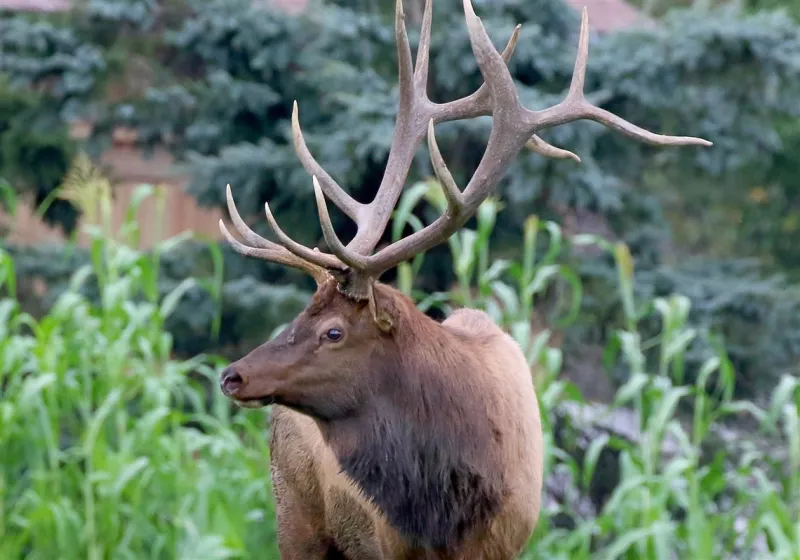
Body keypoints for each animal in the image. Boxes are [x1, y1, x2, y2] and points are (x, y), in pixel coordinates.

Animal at [217, 1, 712, 558]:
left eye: (334, 331)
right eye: (301, 314)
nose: (233, 375)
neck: (446, 505)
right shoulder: (386, 544)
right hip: (295, 516)